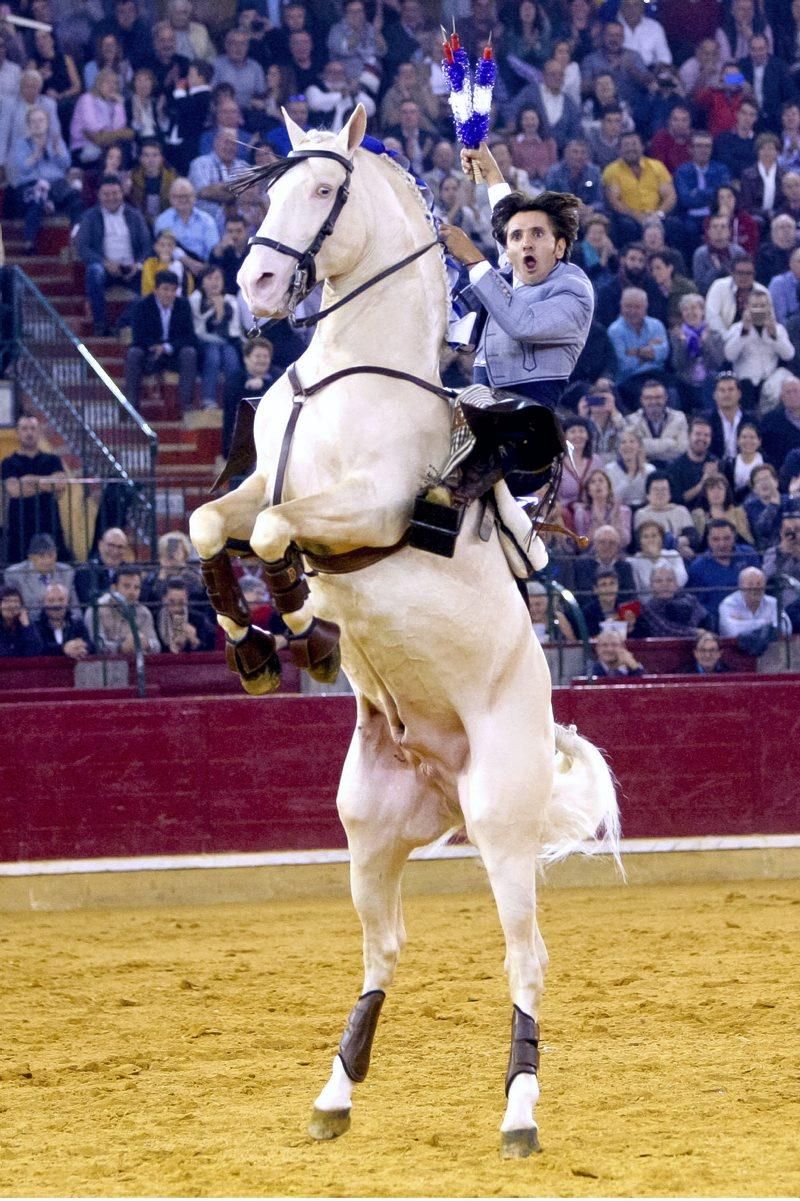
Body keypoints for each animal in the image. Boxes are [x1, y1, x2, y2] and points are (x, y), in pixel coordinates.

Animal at [189, 108, 619, 1157]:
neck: (340, 377)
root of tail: (447, 783)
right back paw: (335, 1092)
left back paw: (518, 1112)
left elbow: (276, 533)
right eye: (271, 187)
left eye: (322, 190)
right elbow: (213, 524)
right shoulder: (258, 484)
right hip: (370, 825)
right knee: (384, 946)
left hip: (503, 824)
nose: (257, 286)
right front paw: (256, 646)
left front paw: (304, 626)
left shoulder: (363, 509)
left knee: (526, 958)